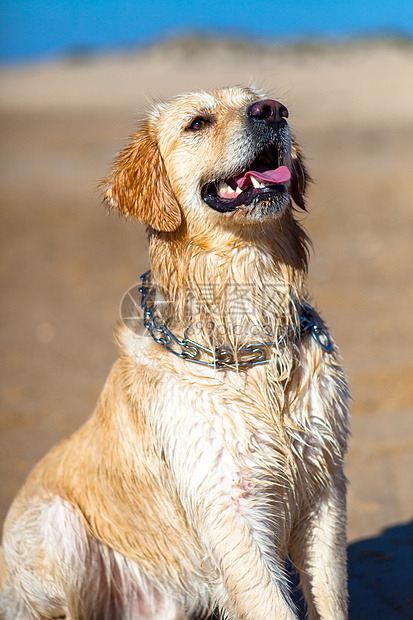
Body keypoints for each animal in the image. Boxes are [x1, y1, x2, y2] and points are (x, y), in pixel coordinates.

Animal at [0, 87, 350, 620]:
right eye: (197, 122)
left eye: (260, 101)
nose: (273, 111)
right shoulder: (230, 506)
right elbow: (269, 603)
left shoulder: (324, 491)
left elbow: (329, 598)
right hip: (57, 526)